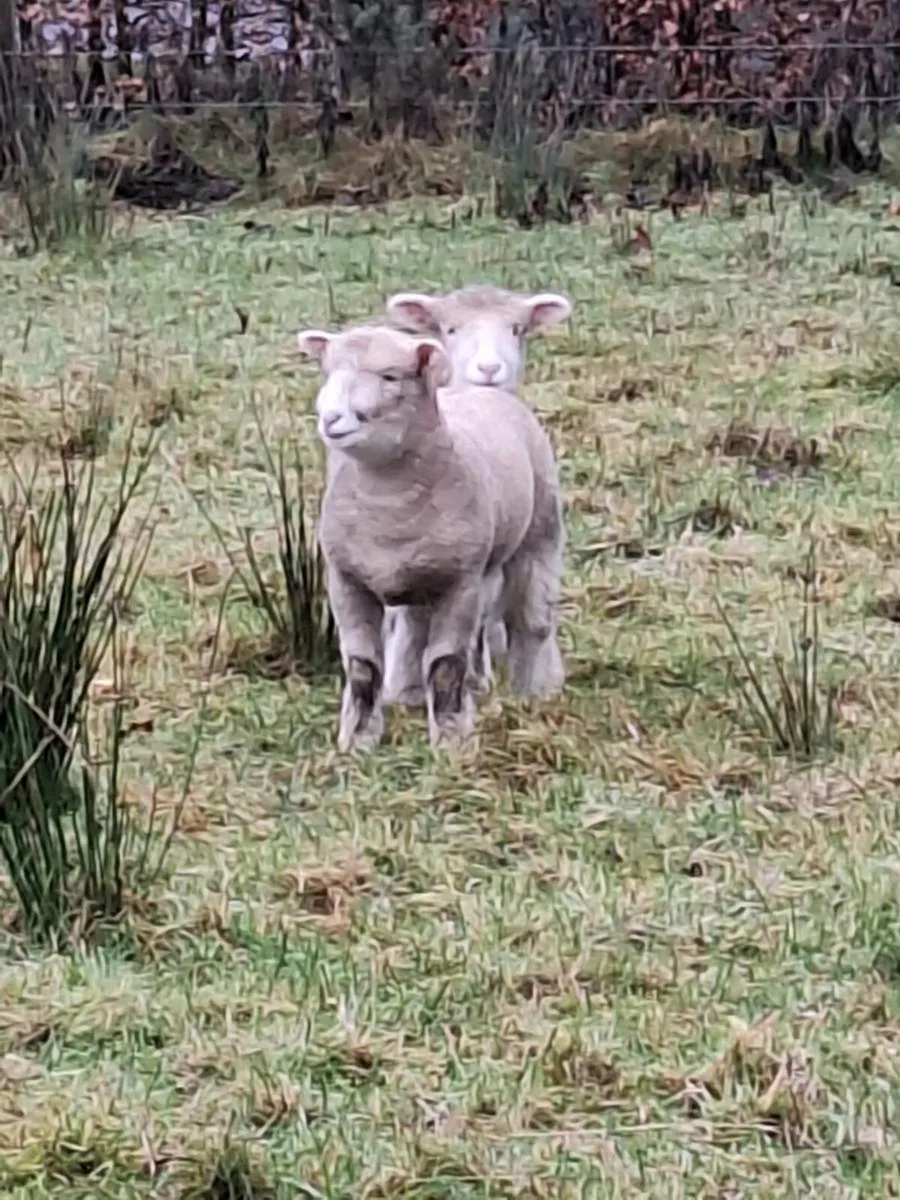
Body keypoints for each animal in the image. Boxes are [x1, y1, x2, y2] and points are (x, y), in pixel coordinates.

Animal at [296, 321, 566, 752]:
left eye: (390, 377)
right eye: (328, 372)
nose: (332, 418)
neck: (386, 502)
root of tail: (477, 390)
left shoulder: (459, 585)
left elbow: (445, 665)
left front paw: (451, 741)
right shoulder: (346, 582)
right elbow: (362, 667)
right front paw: (356, 742)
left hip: (539, 532)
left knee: (531, 618)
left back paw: (534, 691)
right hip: (426, 576)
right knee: (418, 626)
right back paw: (411, 694)